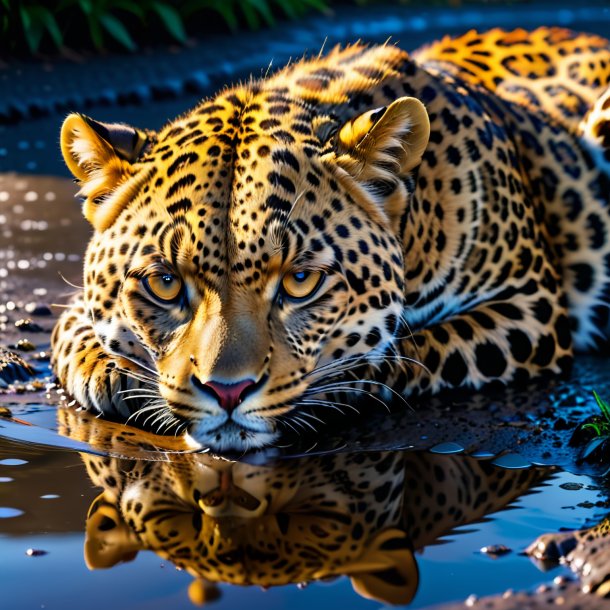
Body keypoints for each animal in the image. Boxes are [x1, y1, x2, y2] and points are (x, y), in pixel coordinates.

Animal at [50, 26, 608, 448]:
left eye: (300, 281)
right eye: (164, 283)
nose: (227, 392)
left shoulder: (530, 304)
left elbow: (411, 349)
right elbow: (69, 331)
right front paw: (111, 373)